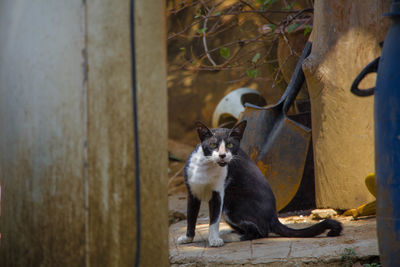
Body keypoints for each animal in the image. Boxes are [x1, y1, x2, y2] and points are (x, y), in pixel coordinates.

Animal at [177, 121, 342, 247]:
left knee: (260, 231)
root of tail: (273, 216)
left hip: (232, 207)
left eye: (230, 145)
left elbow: (214, 220)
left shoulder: (218, 194)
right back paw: (228, 232)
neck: (207, 168)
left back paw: (229, 237)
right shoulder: (192, 192)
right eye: (213, 145)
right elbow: (191, 217)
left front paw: (214, 240)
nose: (223, 155)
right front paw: (187, 238)